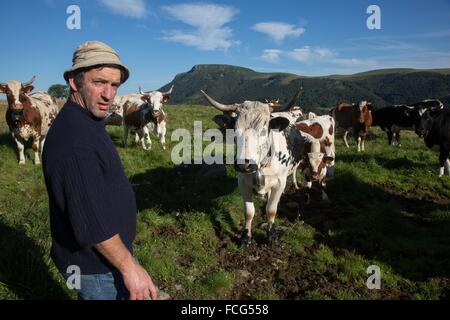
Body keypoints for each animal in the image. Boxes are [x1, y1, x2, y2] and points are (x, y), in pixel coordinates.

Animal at [200, 87, 306, 245]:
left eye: (263, 130)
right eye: (234, 130)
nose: (244, 165)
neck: (261, 166)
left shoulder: (279, 183)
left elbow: (271, 210)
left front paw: (271, 235)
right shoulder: (243, 183)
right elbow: (249, 212)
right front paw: (246, 237)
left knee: (292, 174)